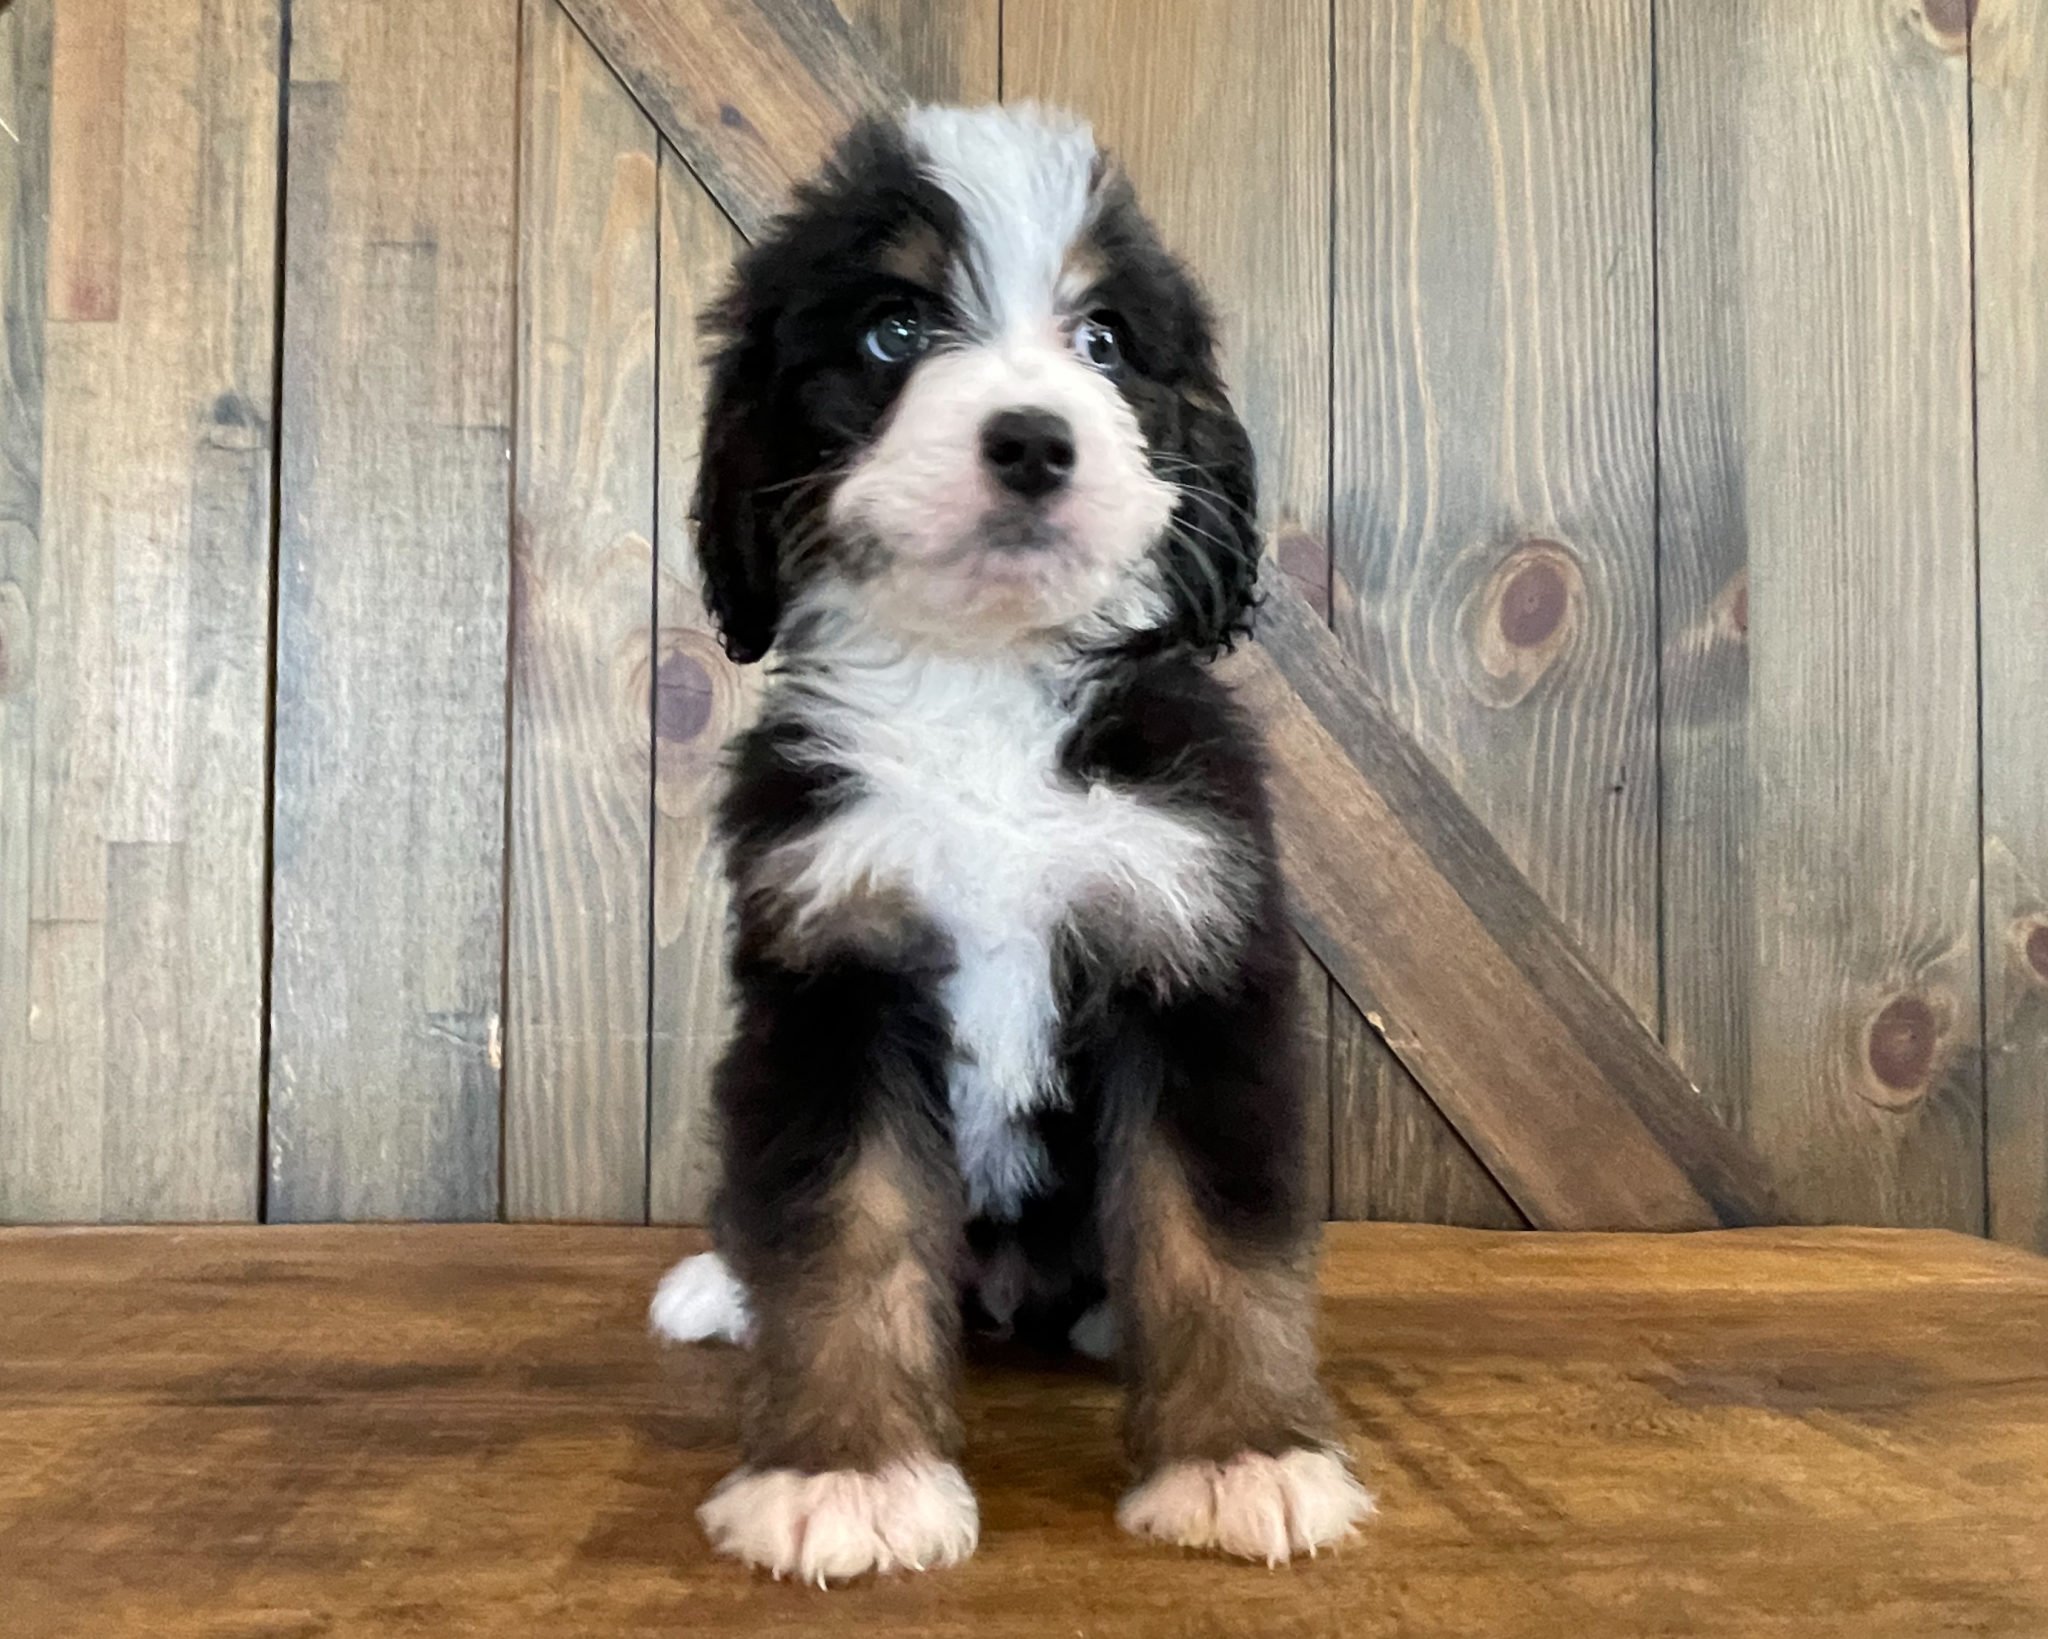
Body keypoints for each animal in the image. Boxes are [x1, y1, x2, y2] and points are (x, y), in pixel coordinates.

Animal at [647, 105, 1368, 1589]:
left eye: (1102, 340)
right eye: (892, 332)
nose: (1033, 441)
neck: (980, 688)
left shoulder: (1188, 940)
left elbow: (1214, 1231)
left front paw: (1244, 1459)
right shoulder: (834, 966)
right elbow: (841, 1226)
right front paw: (843, 1476)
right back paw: (717, 1285)